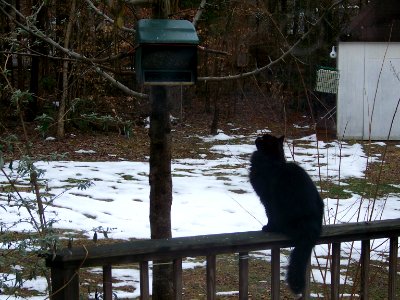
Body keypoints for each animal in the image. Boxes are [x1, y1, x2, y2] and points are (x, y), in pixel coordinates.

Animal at [250, 134, 324, 296]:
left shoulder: (267, 200)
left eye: (263, 138)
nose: (257, 136)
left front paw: (268, 228)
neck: (273, 160)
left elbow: (269, 215)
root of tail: (311, 228)